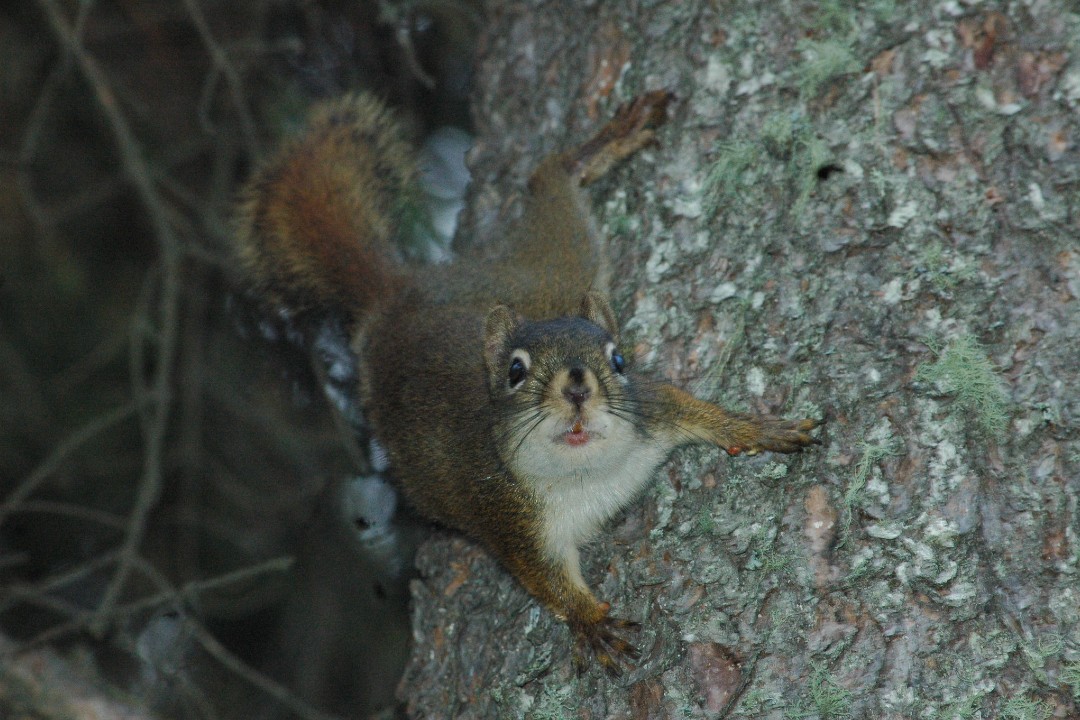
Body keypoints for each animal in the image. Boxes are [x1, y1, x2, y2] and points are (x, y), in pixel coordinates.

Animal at [234, 90, 820, 673]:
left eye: (619, 360)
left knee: (550, 192)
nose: (578, 387)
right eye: (514, 372)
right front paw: (591, 621)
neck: (586, 474)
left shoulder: (650, 410)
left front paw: (757, 428)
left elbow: (694, 408)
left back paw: (599, 147)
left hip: (547, 272)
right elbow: (547, 581)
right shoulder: (508, 522)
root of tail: (396, 296)